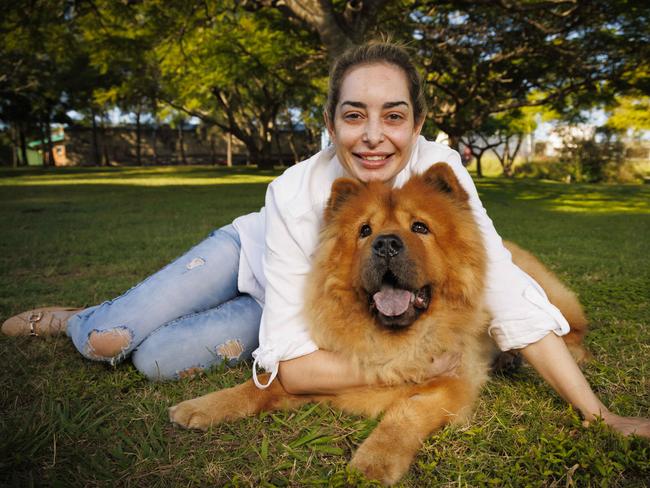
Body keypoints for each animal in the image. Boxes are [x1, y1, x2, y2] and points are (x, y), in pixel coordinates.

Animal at [168, 163, 588, 484]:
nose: (386, 243)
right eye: (365, 231)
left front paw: (372, 464)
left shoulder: (454, 385)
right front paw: (201, 407)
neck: (393, 340)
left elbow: (405, 413)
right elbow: (263, 386)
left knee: (569, 330)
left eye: (420, 228)